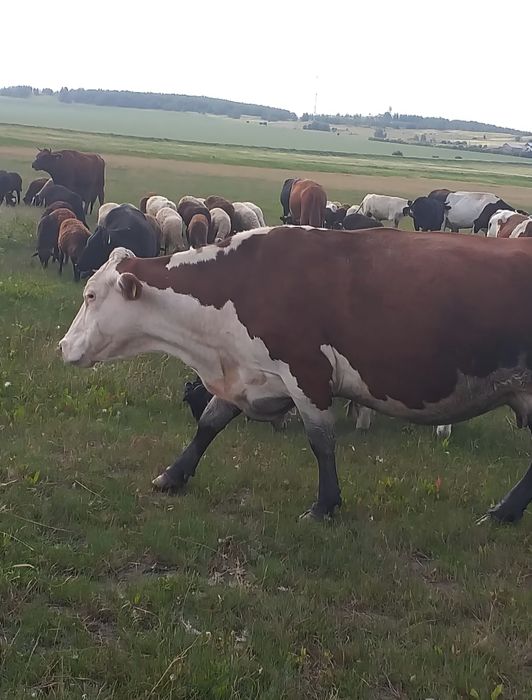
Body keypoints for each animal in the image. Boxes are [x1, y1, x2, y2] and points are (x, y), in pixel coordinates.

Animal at [60, 226, 532, 526]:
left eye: (91, 295)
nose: (64, 346)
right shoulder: (249, 372)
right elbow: (209, 424)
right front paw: (173, 476)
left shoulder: (307, 373)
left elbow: (321, 442)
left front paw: (325, 506)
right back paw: (506, 512)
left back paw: (504, 511)